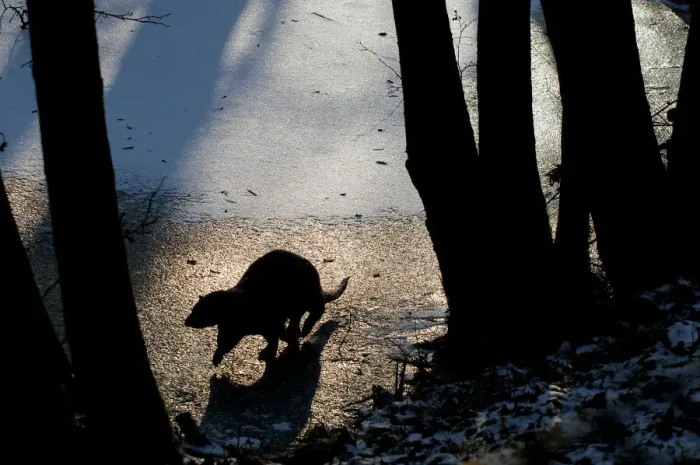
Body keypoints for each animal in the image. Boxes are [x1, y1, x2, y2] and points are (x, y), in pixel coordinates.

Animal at [184, 249, 349, 366]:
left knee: (318, 310)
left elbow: (274, 337)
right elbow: (226, 342)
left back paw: (305, 329)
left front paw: (272, 349)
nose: (186, 321)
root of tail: (319, 285)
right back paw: (294, 332)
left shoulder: (269, 321)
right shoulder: (231, 327)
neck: (242, 306)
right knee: (296, 319)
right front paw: (217, 356)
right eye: (193, 310)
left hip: (310, 295)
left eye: (197, 312)